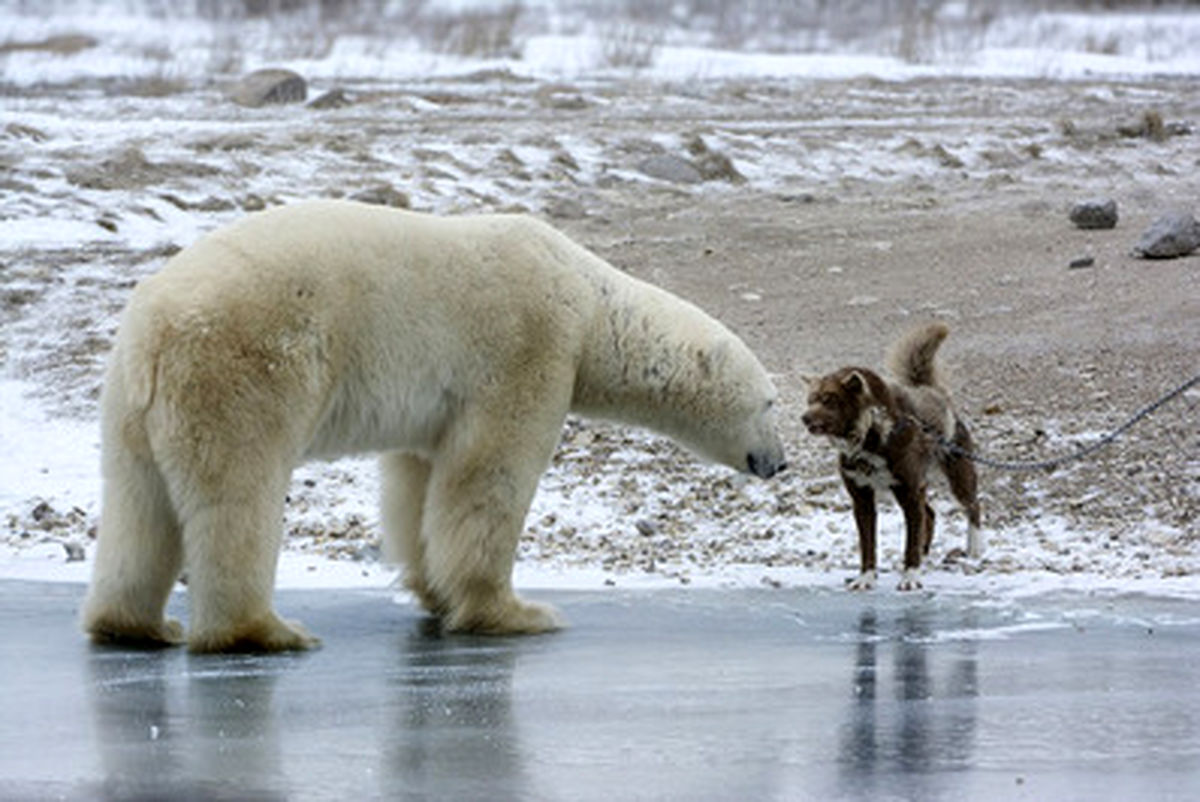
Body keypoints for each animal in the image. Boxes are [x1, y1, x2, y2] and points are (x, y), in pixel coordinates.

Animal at [79, 200, 782, 653]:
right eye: (772, 403)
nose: (778, 462)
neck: (588, 301)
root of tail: (157, 331)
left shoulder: (434, 404)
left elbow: (417, 480)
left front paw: (433, 592)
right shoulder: (528, 348)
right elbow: (489, 474)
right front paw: (514, 612)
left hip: (132, 402)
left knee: (138, 504)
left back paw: (138, 625)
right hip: (244, 369)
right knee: (237, 497)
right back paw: (264, 631)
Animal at [801, 321, 979, 593]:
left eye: (829, 400)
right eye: (810, 400)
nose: (805, 417)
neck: (869, 436)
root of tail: (932, 392)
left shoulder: (909, 491)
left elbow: (910, 540)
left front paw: (910, 577)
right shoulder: (862, 498)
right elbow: (868, 545)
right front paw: (865, 579)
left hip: (958, 475)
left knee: (972, 507)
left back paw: (976, 549)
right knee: (929, 514)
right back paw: (925, 554)